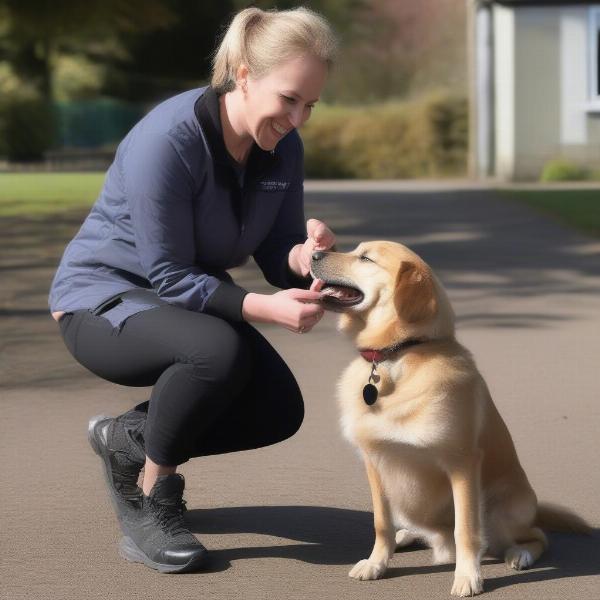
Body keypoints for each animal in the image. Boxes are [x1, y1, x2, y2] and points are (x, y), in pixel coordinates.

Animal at [314, 241, 592, 596]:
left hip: (500, 510)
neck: (399, 355)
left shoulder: (462, 464)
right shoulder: (375, 462)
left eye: (366, 258)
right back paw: (405, 536)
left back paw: (520, 554)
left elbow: (466, 531)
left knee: (536, 536)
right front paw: (377, 563)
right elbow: (381, 524)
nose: (314, 254)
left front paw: (467, 577)